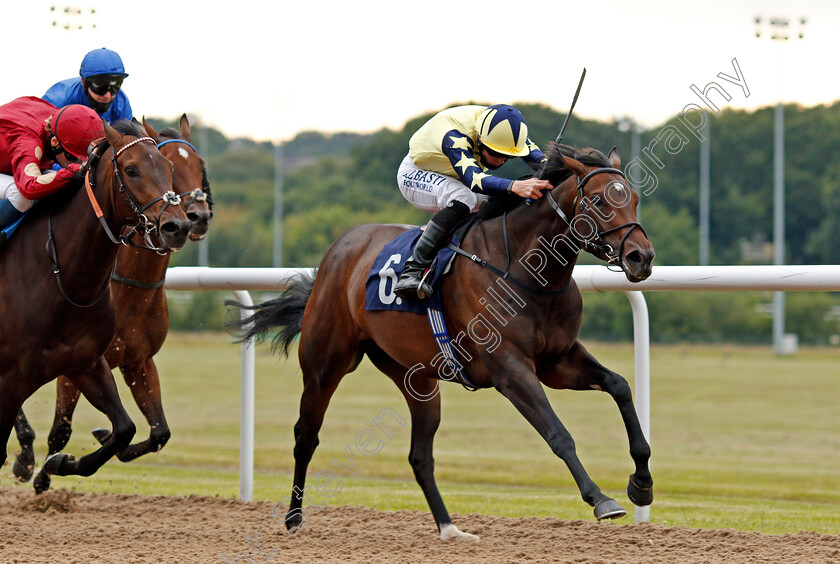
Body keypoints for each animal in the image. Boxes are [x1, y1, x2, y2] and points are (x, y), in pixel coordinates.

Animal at [11, 113, 215, 490]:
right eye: (172, 165)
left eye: (199, 164)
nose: (194, 218)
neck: (133, 290)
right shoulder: (75, 365)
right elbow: (61, 430)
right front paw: (46, 471)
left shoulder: (138, 360)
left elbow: (159, 432)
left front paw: (104, 436)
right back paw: (26, 453)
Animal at [230, 143, 656, 540]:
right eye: (599, 200)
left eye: (634, 199)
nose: (642, 257)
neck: (526, 271)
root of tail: (341, 247)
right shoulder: (510, 369)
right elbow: (558, 434)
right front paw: (600, 498)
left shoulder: (558, 360)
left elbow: (619, 385)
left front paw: (642, 483)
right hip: (325, 363)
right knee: (306, 436)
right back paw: (293, 518)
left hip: (415, 377)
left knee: (420, 456)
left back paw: (449, 527)